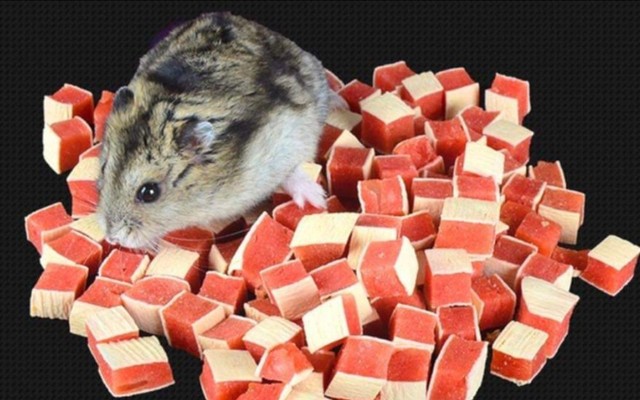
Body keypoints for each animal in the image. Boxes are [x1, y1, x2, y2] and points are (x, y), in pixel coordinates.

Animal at [96, 12, 334, 250]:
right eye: (104, 169)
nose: (111, 237)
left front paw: (317, 200)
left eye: (149, 193)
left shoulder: (288, 137)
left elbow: (291, 171)